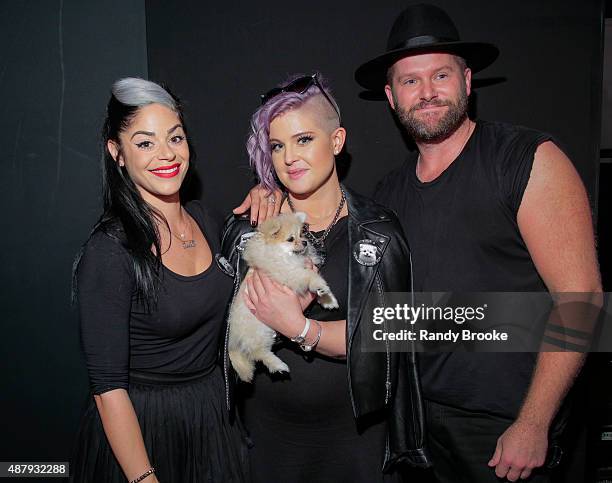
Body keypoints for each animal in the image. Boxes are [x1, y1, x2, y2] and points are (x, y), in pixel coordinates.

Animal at [228, 214, 338, 384]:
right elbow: (310, 277)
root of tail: (233, 341)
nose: (305, 242)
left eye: (302, 234)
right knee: (258, 353)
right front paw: (321, 287)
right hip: (258, 334)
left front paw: (328, 300)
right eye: (291, 239)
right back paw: (279, 365)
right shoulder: (290, 273)